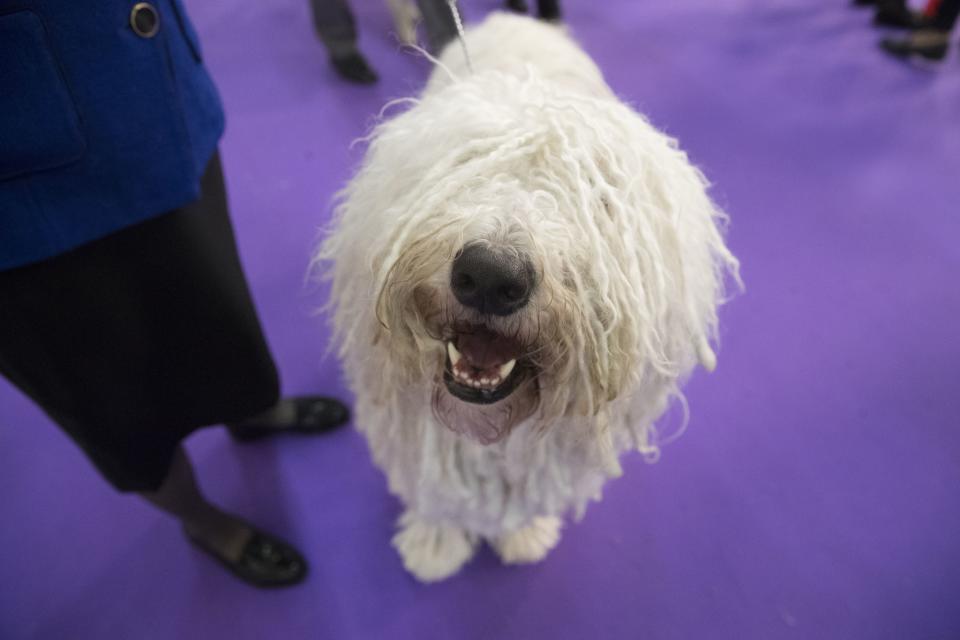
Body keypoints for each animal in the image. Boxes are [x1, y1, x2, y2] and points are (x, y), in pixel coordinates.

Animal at [318, 12, 740, 584]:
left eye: (600, 198)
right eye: (468, 163)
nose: (490, 274)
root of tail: (512, 16)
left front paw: (522, 534)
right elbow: (432, 487)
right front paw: (435, 543)